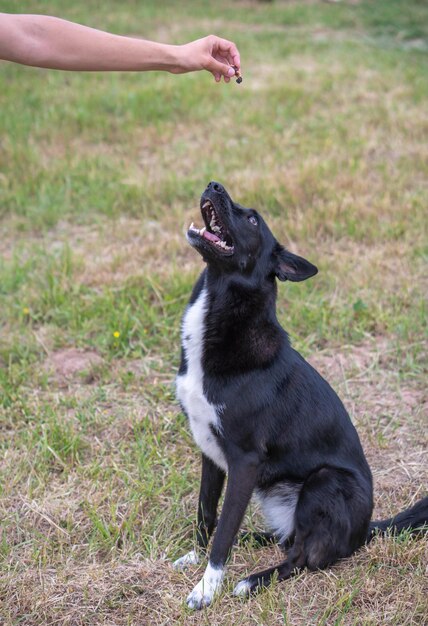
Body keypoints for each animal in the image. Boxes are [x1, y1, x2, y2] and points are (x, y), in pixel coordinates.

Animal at [172, 182, 426, 608]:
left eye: (252, 219)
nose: (213, 184)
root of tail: (366, 530)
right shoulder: (209, 450)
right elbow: (208, 514)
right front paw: (195, 557)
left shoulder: (244, 461)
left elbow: (222, 533)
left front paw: (208, 588)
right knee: (286, 539)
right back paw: (251, 542)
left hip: (324, 483)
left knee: (304, 557)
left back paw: (251, 581)